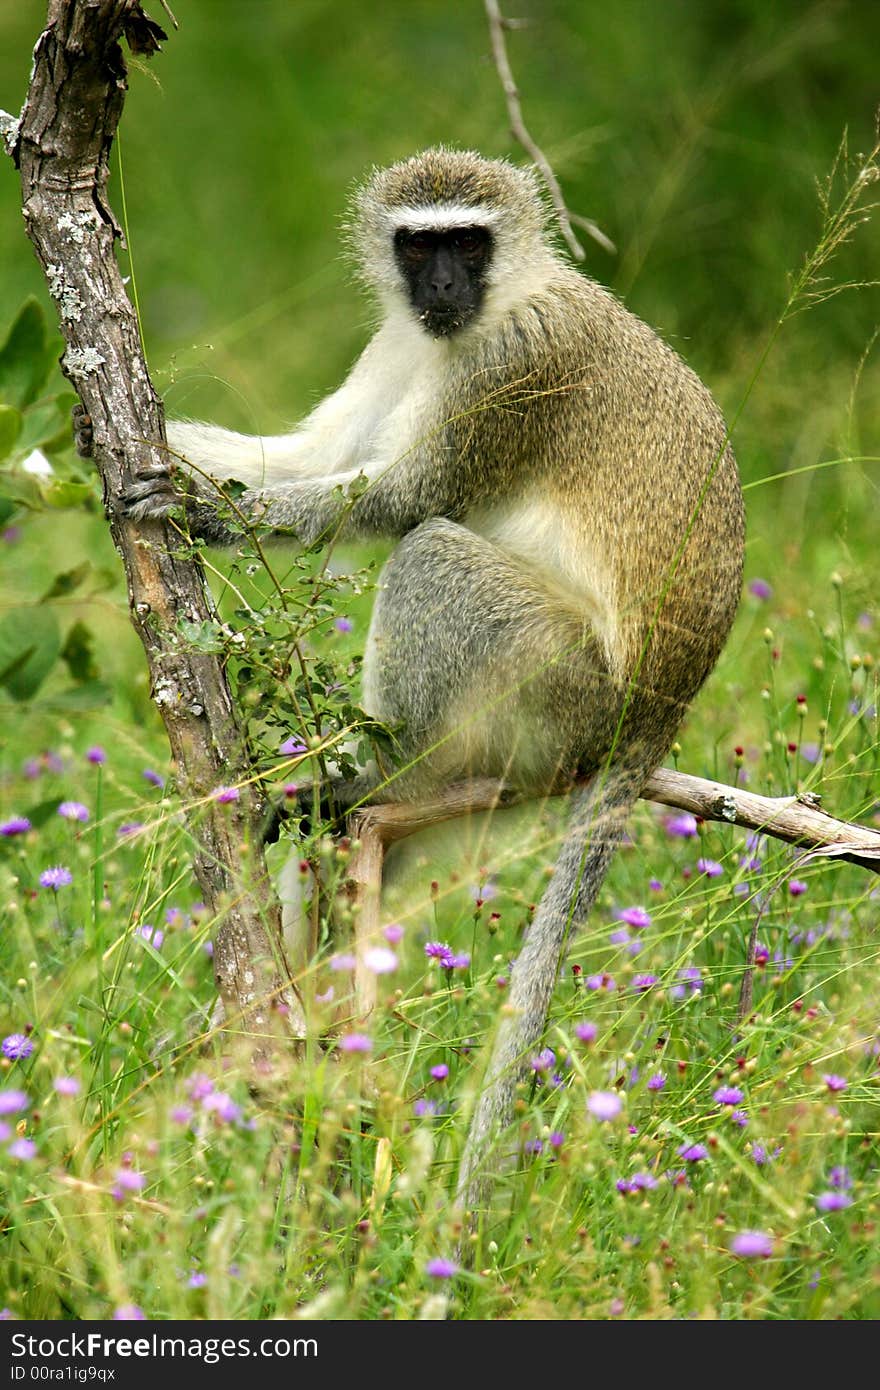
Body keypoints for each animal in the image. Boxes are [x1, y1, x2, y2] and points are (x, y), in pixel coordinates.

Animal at [111, 152, 739, 1212]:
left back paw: (371, 778)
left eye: (469, 243)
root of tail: (656, 713)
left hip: (554, 684)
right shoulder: (394, 344)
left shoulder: (518, 364)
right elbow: (314, 455)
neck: (488, 312)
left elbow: (394, 498)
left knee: (430, 551)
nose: (441, 287)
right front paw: (118, 441)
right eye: (418, 246)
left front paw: (199, 510)